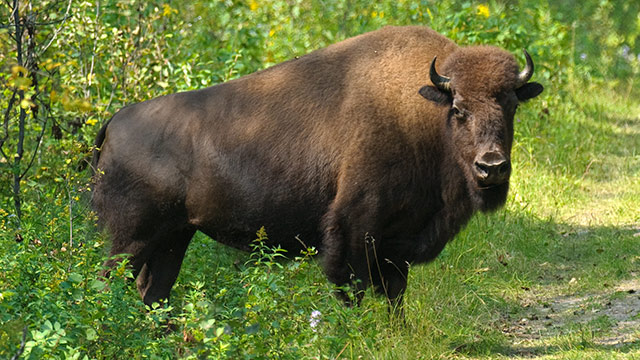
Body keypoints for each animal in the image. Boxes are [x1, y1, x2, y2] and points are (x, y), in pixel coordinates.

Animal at [92, 25, 544, 310]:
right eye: (459, 109)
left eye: (511, 105)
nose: (491, 167)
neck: (422, 113)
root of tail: (115, 120)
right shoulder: (355, 232)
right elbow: (354, 288)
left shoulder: (397, 244)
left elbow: (394, 297)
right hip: (129, 239)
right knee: (108, 283)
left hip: (174, 236)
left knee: (153, 292)